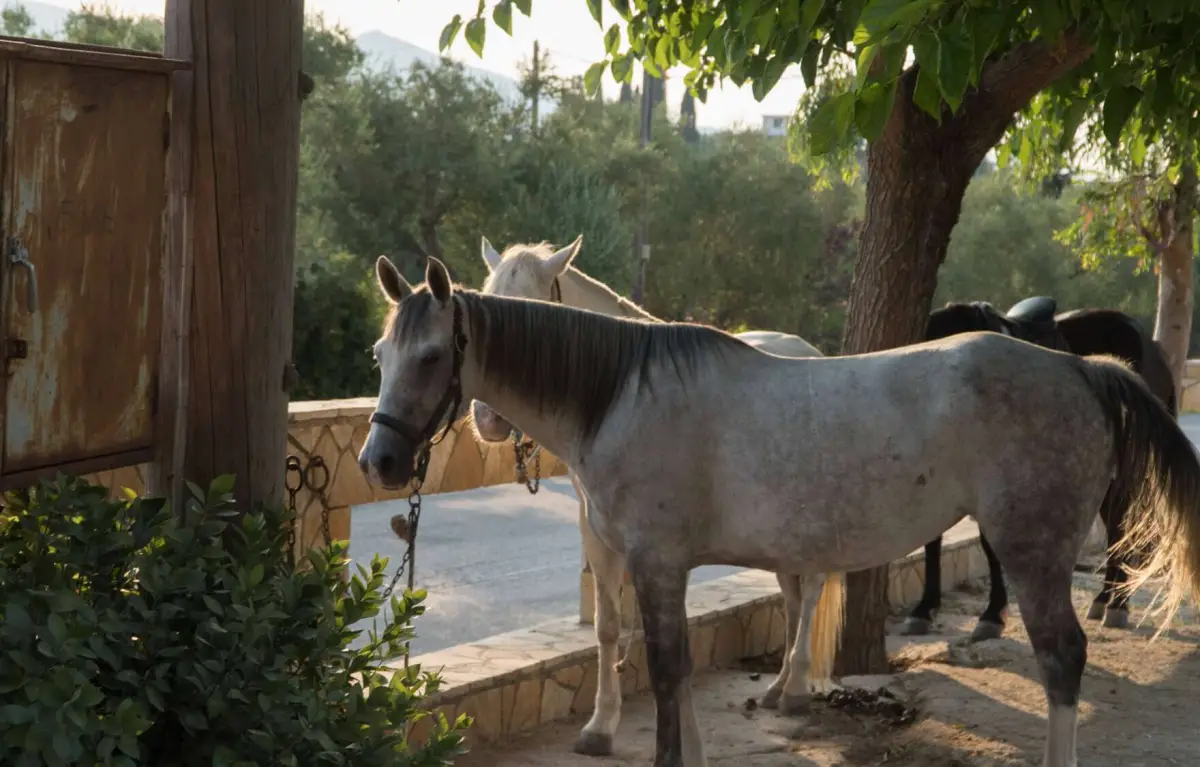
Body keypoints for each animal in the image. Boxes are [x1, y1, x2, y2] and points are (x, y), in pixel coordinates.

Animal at [471, 237, 840, 755]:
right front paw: (601, 725)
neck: (617, 387)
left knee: (811, 590)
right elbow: (608, 625)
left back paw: (798, 690)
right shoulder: (597, 530)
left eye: (531, 316)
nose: (487, 417)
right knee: (791, 593)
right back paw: (777, 684)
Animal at [903, 297, 1179, 642]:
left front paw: (992, 615)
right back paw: (1105, 600)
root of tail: (1154, 351)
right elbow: (933, 539)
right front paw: (924, 609)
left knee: (1122, 528)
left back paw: (1117, 604)